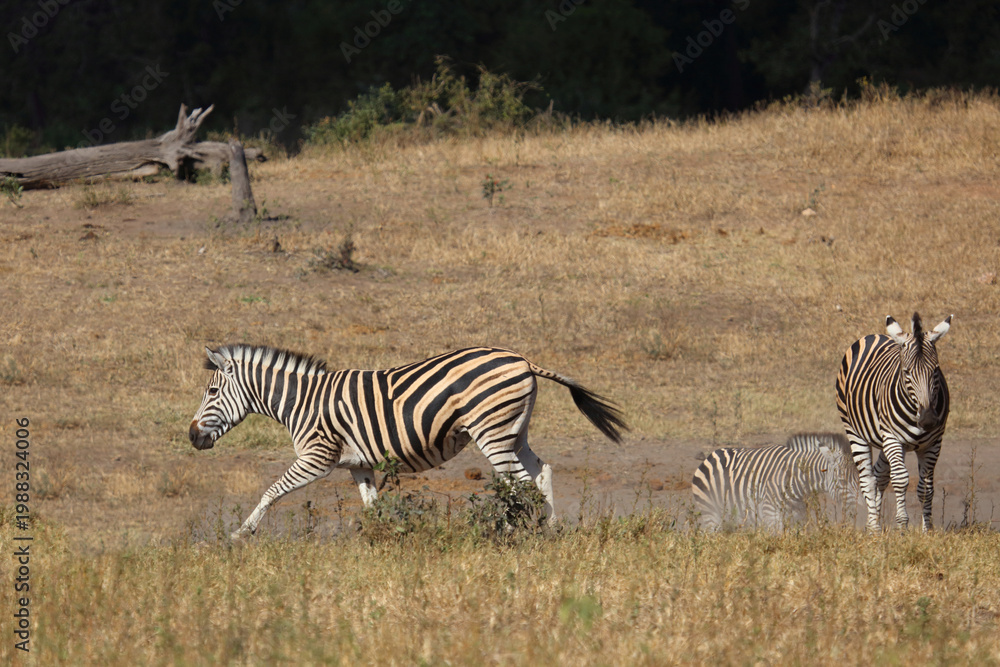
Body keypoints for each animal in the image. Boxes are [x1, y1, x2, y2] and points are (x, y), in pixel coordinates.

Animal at [188, 344, 627, 539]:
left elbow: (272, 490)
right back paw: (550, 530)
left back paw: (510, 532)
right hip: (514, 431)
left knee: (516, 483)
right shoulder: (359, 464)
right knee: (540, 472)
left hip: (492, 431)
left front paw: (241, 533)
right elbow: (371, 505)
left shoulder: (317, 456)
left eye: (212, 392)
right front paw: (381, 538)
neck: (302, 401)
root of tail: (521, 359)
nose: (191, 436)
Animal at [690, 433, 860, 531]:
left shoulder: (799, 516)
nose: (860, 508)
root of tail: (711, 454)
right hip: (710, 512)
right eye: (842, 480)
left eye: (858, 479)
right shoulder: (771, 514)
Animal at [836, 312, 951, 532]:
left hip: (885, 440)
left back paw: (873, 523)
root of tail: (872, 335)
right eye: (906, 372)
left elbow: (926, 488)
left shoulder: (934, 443)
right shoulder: (892, 438)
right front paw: (902, 526)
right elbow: (900, 479)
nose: (928, 420)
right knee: (868, 479)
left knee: (879, 474)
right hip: (855, 431)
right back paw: (874, 528)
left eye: (935, 371)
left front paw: (927, 530)